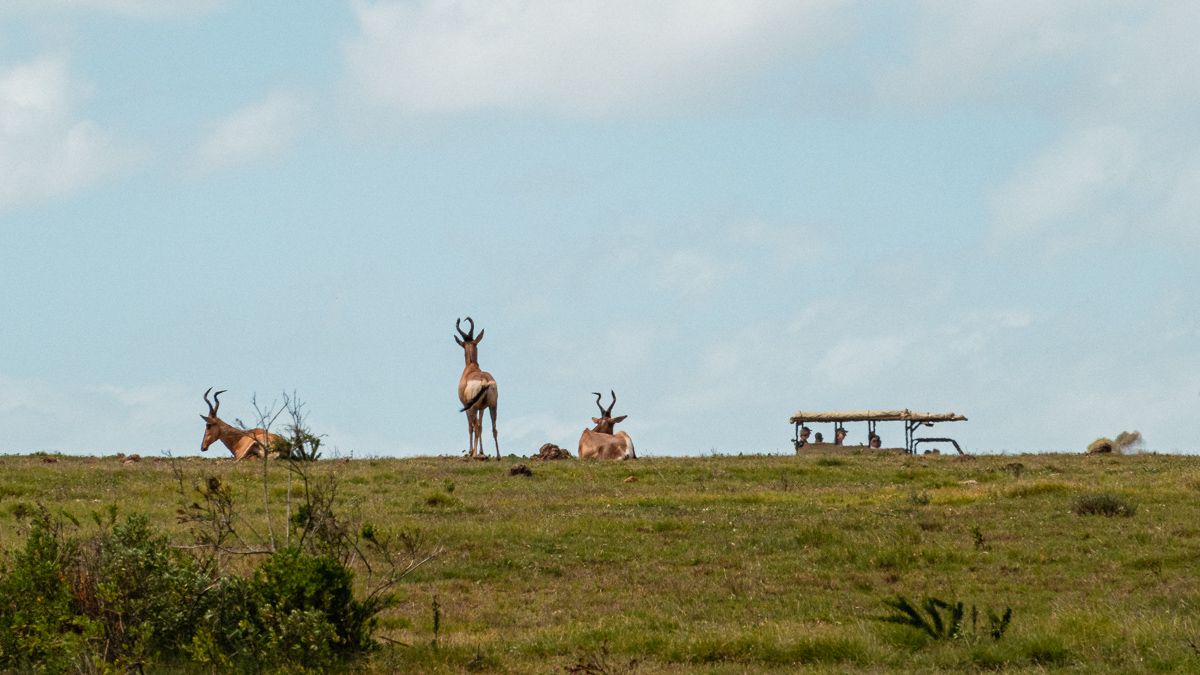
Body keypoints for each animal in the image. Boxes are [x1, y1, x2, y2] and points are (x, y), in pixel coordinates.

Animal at [454, 317, 500, 459]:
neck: (472, 368)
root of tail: (484, 379)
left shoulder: (466, 406)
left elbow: (471, 427)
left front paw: (471, 451)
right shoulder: (482, 408)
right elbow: (481, 425)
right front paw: (481, 451)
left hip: (473, 407)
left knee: (475, 426)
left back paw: (474, 455)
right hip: (493, 405)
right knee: (493, 428)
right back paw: (498, 456)